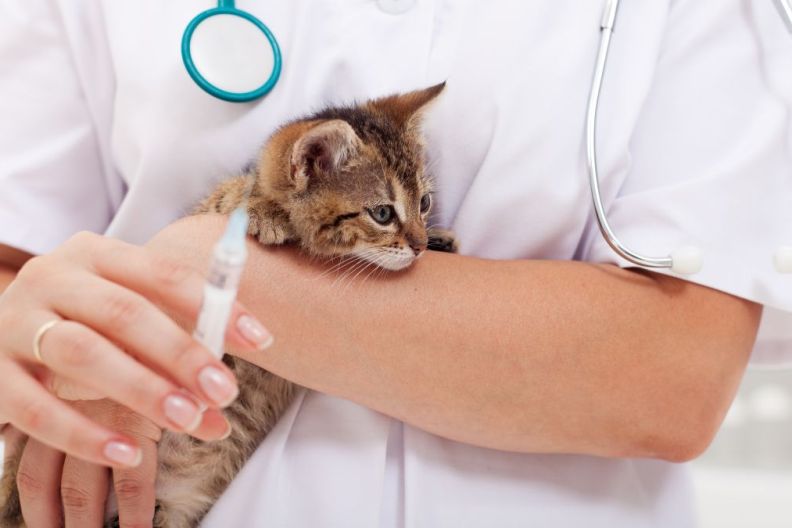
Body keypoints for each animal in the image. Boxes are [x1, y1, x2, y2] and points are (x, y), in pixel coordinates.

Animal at [0, 83, 454, 528]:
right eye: (383, 213)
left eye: (425, 204)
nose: (418, 246)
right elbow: (231, 197)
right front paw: (262, 210)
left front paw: (442, 239)